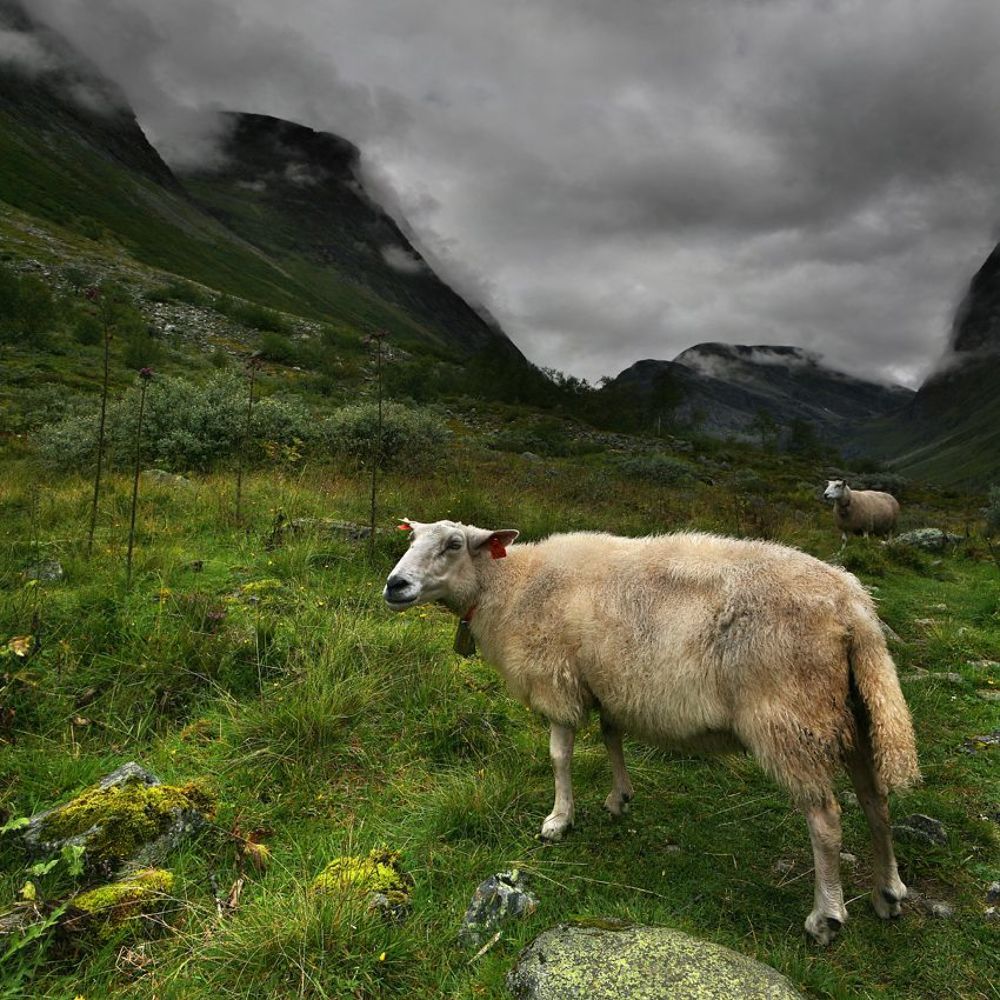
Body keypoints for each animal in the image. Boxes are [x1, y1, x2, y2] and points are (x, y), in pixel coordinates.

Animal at [383, 519, 920, 946]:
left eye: (454, 543)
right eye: (410, 537)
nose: (394, 585)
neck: (511, 585)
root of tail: (854, 605)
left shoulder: (558, 681)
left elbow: (559, 756)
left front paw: (559, 819)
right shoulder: (609, 684)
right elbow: (612, 737)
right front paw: (620, 797)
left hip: (790, 715)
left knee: (826, 819)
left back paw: (826, 916)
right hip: (852, 707)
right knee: (875, 800)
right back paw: (887, 892)